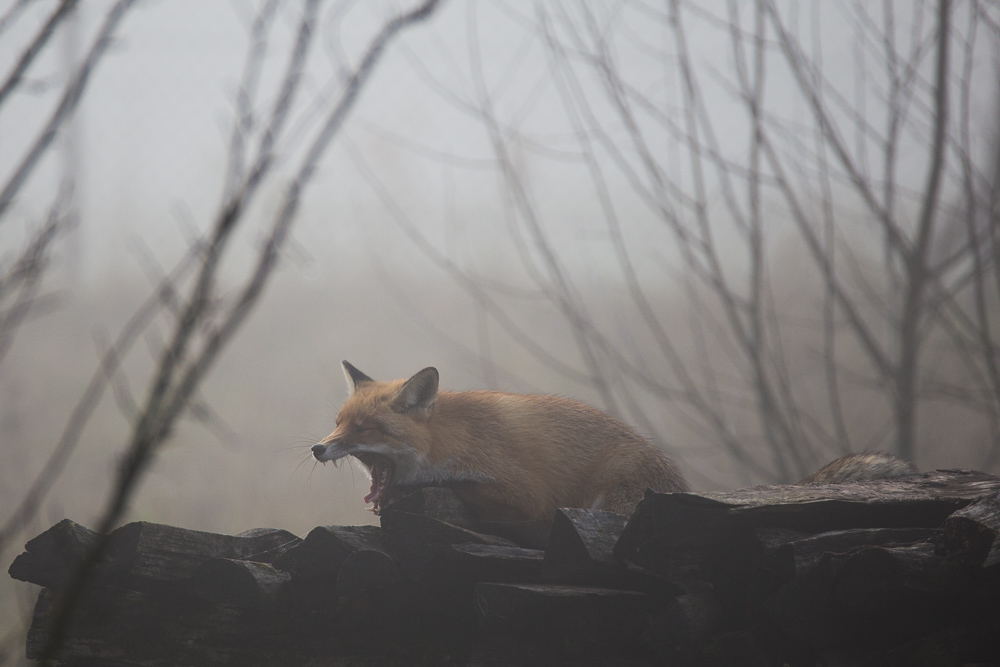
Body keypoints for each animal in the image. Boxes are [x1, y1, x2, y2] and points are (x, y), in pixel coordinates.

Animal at [312, 362, 688, 544]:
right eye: (338, 423)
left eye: (363, 428)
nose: (317, 448)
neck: (449, 439)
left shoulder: (528, 496)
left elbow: (454, 484)